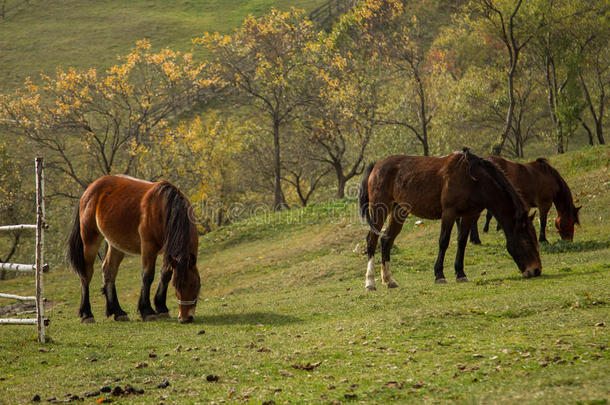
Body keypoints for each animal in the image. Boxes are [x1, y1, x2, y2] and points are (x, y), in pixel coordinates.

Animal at [66, 175, 200, 324]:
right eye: (176, 287)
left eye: (195, 285)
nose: (185, 318)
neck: (163, 208)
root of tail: (89, 189)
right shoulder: (148, 247)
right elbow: (147, 276)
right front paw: (147, 311)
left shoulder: (168, 252)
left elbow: (165, 274)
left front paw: (161, 308)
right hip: (90, 242)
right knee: (86, 275)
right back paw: (87, 314)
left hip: (115, 245)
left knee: (109, 271)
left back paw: (118, 312)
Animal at [358, 146, 540, 288]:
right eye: (526, 241)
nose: (536, 270)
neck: (473, 179)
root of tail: (376, 166)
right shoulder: (449, 213)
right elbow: (444, 242)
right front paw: (439, 275)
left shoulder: (469, 215)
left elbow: (462, 242)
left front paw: (461, 273)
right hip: (379, 209)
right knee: (372, 240)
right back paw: (370, 282)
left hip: (399, 211)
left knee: (386, 240)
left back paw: (389, 280)